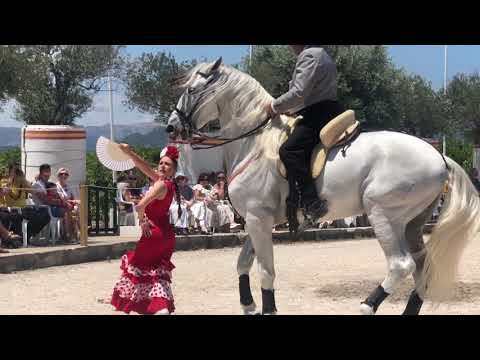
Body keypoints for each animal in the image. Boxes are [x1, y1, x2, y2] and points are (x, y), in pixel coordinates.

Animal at [167, 57, 480, 314]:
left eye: (191, 91)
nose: (171, 127)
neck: (253, 143)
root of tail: (439, 156)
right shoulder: (259, 221)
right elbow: (243, 263)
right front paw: (248, 305)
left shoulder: (258, 219)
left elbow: (265, 271)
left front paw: (265, 307)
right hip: (412, 223)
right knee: (422, 269)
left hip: (383, 214)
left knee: (401, 265)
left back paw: (367, 306)